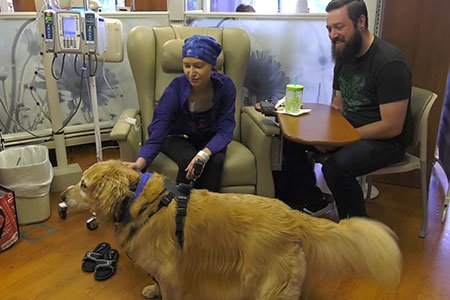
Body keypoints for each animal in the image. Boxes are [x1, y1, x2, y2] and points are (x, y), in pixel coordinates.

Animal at [61, 161, 402, 298]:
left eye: (84, 185)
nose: (62, 195)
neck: (139, 201)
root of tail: (292, 215)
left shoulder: (171, 271)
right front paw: (151, 290)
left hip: (268, 288)